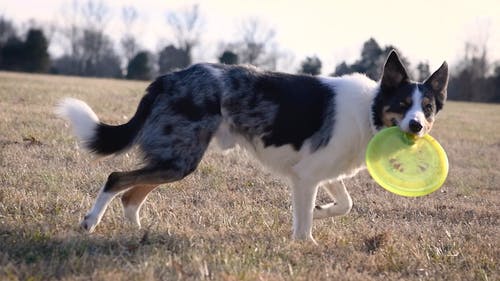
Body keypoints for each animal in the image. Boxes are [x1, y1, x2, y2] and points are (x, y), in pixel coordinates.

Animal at [56, 51, 448, 242]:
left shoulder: (321, 171)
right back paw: (90, 222)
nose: (417, 125)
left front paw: (322, 210)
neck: (369, 111)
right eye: (402, 104)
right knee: (116, 177)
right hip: (181, 158)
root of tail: (168, 77)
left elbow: (344, 205)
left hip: (176, 158)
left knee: (131, 194)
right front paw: (306, 243)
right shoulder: (306, 177)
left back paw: (137, 231)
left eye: (427, 108)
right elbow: (304, 226)